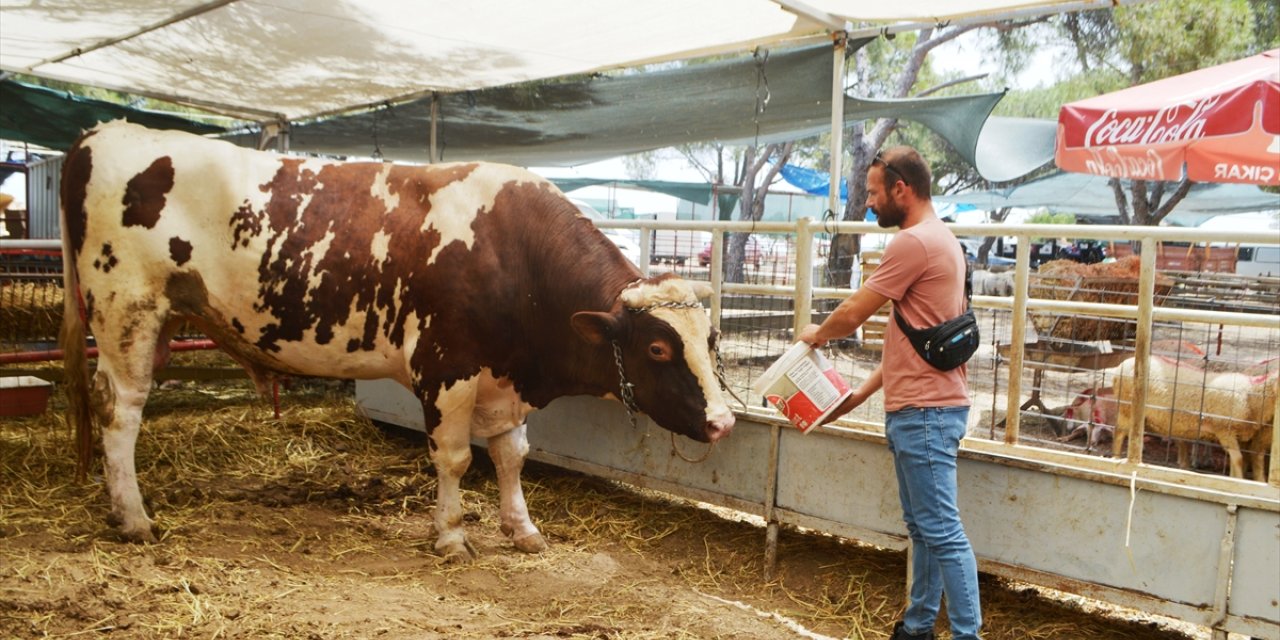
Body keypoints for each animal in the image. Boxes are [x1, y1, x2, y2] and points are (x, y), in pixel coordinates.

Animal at [62, 120, 742, 560]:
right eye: (658, 349)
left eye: (710, 339)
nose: (723, 423)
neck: (515, 255)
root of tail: (105, 133)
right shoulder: (447, 368)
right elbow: (456, 457)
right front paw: (451, 535)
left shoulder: (504, 379)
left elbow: (511, 455)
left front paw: (521, 529)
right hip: (126, 311)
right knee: (121, 411)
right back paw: (133, 517)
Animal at [1111, 358, 1269, 478]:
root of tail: (1121, 366)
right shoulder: (1226, 430)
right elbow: (1238, 459)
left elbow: (1241, 460)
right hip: (1127, 408)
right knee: (1119, 434)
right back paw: (1117, 459)